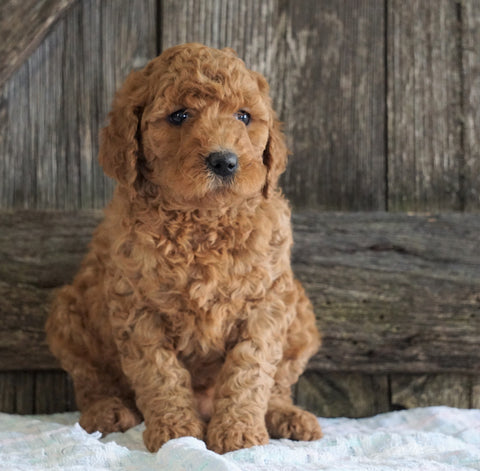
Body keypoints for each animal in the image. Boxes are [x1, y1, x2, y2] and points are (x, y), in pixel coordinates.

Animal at [46, 43, 322, 454]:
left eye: (243, 116)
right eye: (179, 116)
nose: (224, 161)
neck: (203, 221)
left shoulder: (267, 302)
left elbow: (250, 369)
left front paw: (239, 433)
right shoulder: (138, 309)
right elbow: (160, 372)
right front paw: (177, 433)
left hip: (300, 313)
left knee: (278, 383)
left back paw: (286, 417)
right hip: (69, 316)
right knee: (92, 378)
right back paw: (108, 411)